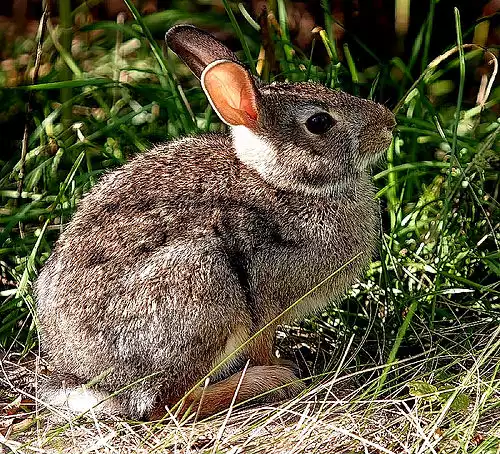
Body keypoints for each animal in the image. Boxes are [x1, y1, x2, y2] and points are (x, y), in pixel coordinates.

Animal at [34, 24, 394, 420]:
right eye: (319, 122)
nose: (389, 124)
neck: (280, 182)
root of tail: (93, 381)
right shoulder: (263, 297)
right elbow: (262, 344)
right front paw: (282, 371)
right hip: (203, 288)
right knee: (169, 404)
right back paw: (267, 382)